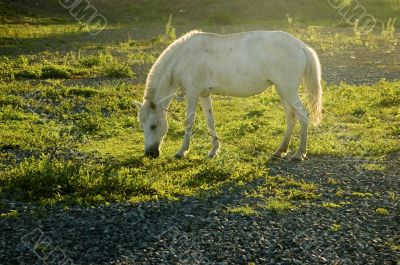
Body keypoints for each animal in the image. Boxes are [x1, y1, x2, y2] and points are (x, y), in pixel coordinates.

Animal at [136, 29, 324, 160]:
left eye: (153, 125)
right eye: (142, 125)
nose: (150, 154)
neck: (183, 56)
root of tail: (301, 46)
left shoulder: (192, 93)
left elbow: (189, 122)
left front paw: (182, 151)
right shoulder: (204, 95)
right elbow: (210, 121)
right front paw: (214, 150)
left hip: (288, 90)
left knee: (303, 115)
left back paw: (299, 154)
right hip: (282, 90)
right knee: (291, 117)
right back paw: (280, 151)